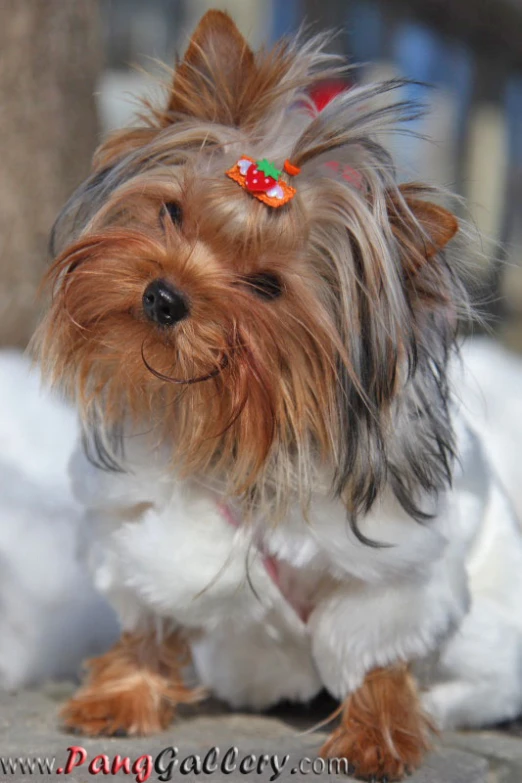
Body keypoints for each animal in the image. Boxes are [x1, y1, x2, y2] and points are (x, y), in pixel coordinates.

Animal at [33, 12, 522, 783]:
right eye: (171, 212)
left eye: (267, 286)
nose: (163, 297)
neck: (232, 421)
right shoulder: (147, 525)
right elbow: (151, 609)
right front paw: (122, 695)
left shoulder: (388, 578)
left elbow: (378, 655)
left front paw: (377, 738)